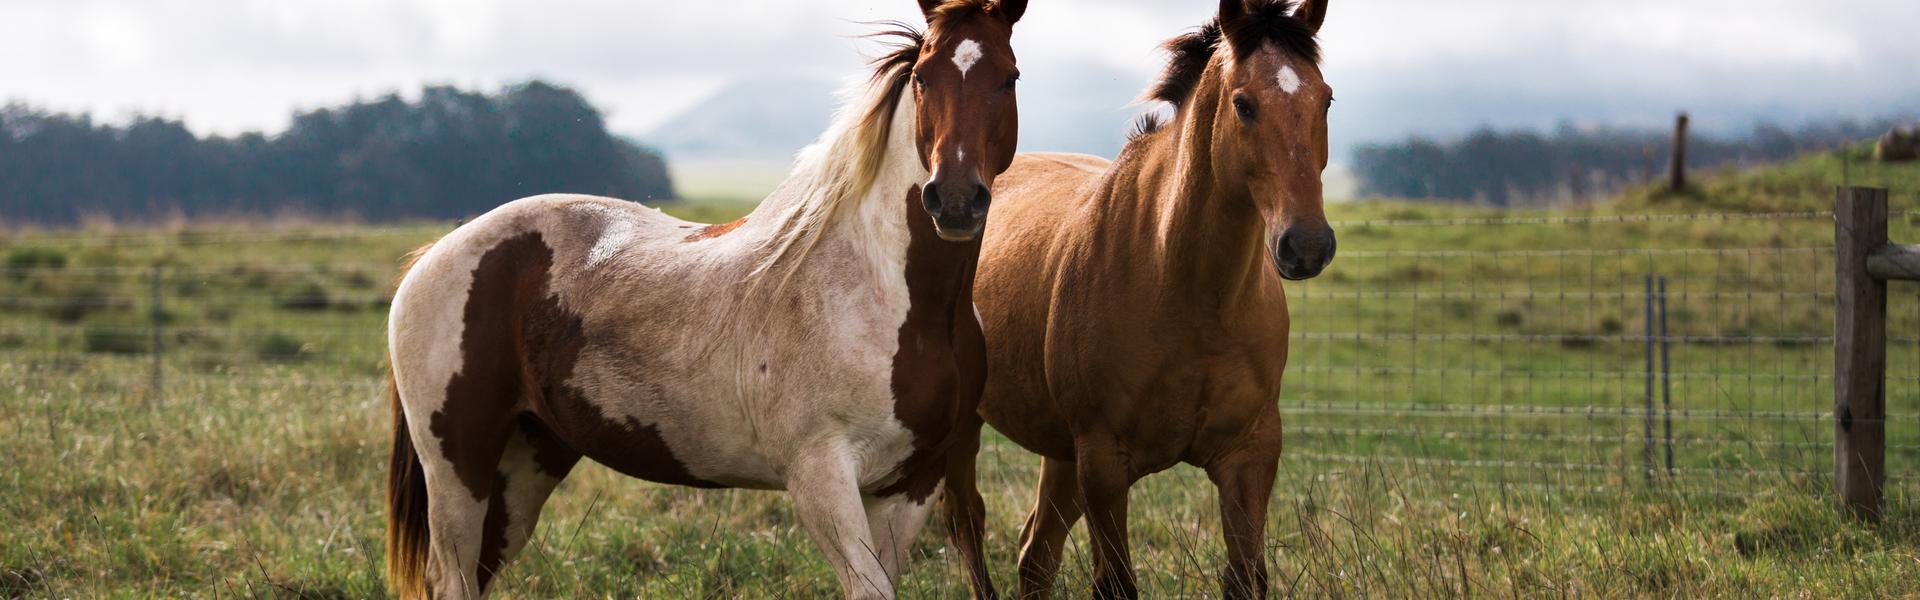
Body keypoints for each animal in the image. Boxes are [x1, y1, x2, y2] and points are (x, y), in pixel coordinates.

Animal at [384, 1, 1029, 600]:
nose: (954, 199)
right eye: (923, 77)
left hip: (525, 463)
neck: (895, 301)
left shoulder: (913, 483)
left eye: (1009, 77)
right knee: (453, 576)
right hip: (458, 468)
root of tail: (435, 255)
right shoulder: (821, 477)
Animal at [944, 2, 1336, 596]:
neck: (1191, 297)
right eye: (1244, 104)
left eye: (1326, 98)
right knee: (968, 522)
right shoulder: (1105, 463)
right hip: (972, 429)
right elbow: (1116, 582)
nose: (1307, 245)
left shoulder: (1249, 455)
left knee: (1035, 555)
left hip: (1062, 452)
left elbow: (1246, 577)